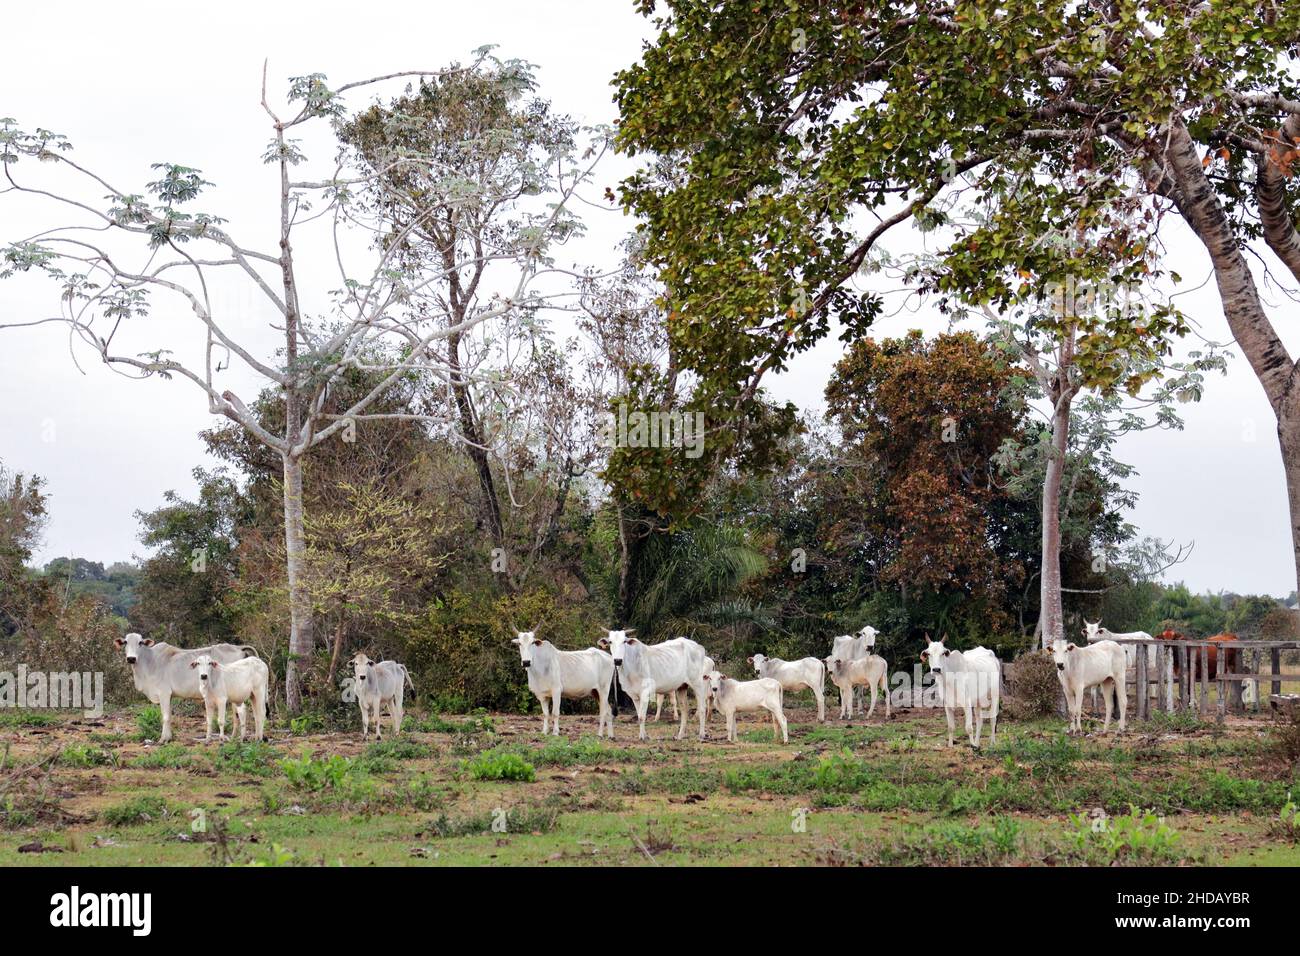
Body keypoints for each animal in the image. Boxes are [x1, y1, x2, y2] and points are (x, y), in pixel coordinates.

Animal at [115, 634, 260, 749]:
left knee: (240, 712)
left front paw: (163, 739)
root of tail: (238, 647)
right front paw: (169, 737)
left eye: (140, 642)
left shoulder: (164, 693)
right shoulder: (169, 696)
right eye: (125, 642)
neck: (150, 662)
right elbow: (169, 716)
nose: (131, 658)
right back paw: (235, 737)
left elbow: (165, 717)